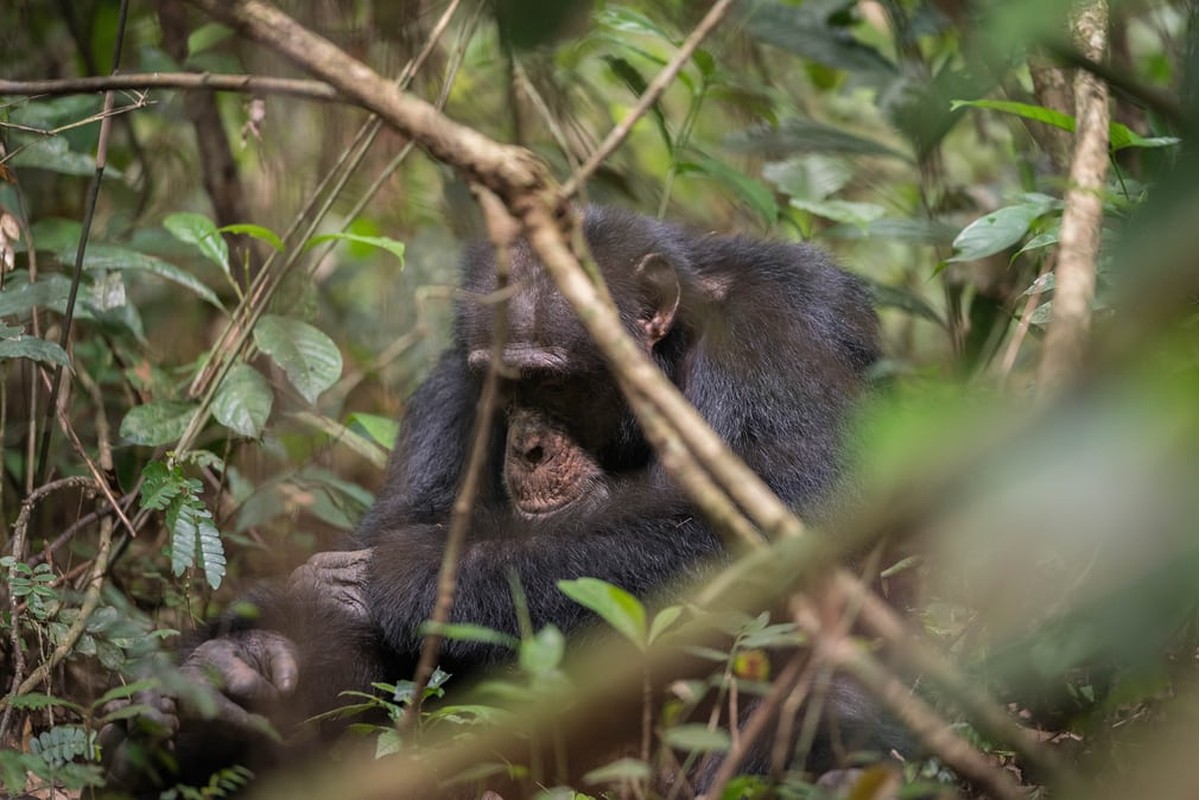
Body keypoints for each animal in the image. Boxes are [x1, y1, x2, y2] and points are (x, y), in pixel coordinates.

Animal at [121, 205, 892, 786]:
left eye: (550, 380)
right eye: (504, 383)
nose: (527, 446)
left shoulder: (777, 334)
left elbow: (790, 520)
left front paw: (397, 579)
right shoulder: (452, 387)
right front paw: (234, 669)